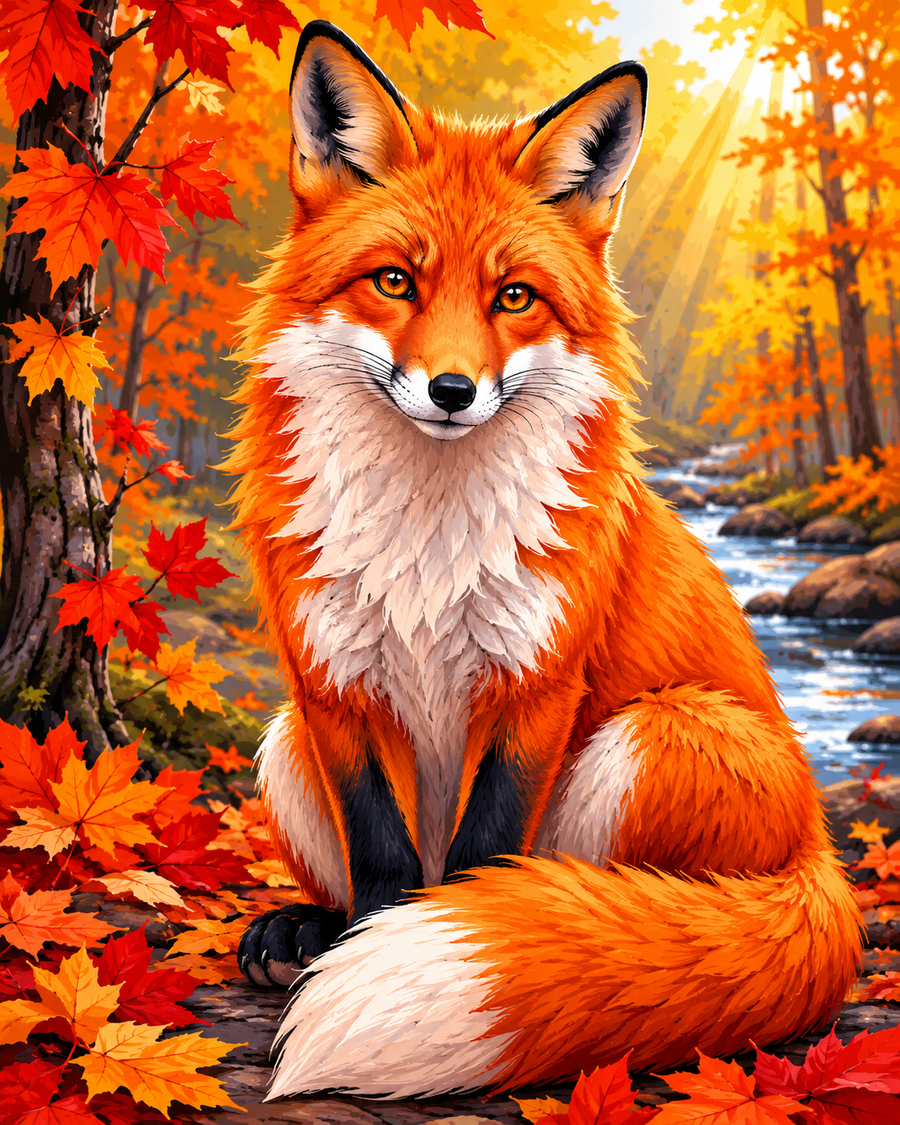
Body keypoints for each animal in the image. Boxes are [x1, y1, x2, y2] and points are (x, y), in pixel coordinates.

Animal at [226, 20, 862, 1101]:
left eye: (514, 297)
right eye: (395, 281)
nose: (450, 390)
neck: (428, 546)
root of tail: (823, 854)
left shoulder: (537, 681)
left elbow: (483, 860)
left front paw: (467, 940)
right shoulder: (332, 682)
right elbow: (382, 857)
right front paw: (362, 939)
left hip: (655, 735)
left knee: (628, 901)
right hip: (283, 742)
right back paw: (304, 929)